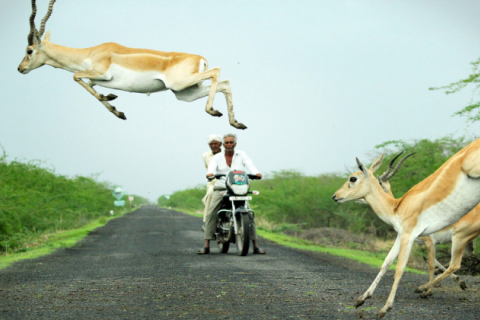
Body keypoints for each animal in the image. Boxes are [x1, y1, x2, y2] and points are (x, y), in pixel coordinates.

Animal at [17, 0, 248, 130]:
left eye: (29, 51)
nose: (20, 68)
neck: (91, 52)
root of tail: (200, 58)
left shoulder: (101, 73)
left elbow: (75, 77)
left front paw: (112, 101)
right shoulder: (96, 78)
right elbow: (91, 87)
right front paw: (115, 106)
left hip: (181, 84)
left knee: (217, 72)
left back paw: (213, 111)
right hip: (185, 93)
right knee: (225, 83)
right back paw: (236, 123)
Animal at [332, 139, 480, 318]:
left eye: (352, 178)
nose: (335, 196)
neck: (396, 207)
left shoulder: (414, 236)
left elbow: (403, 268)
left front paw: (385, 308)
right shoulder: (402, 235)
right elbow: (386, 263)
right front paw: (361, 299)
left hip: (459, 237)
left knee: (455, 265)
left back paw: (421, 288)